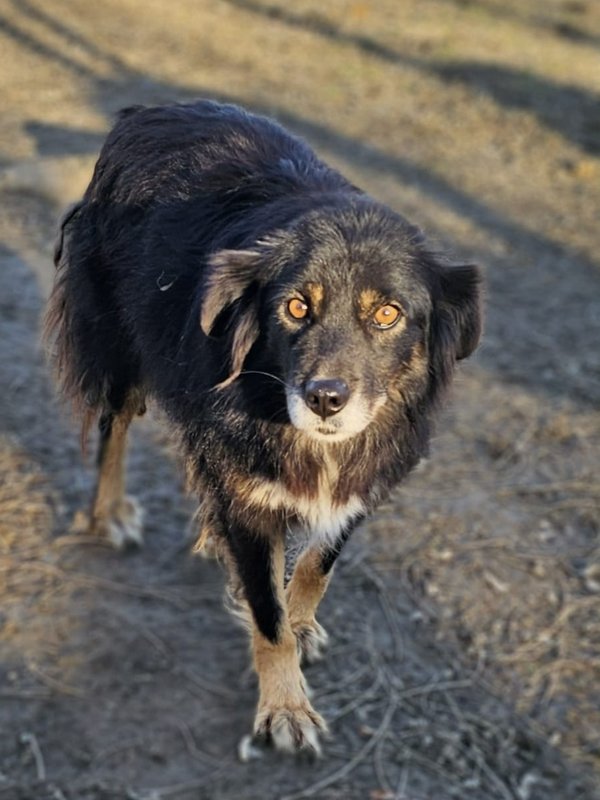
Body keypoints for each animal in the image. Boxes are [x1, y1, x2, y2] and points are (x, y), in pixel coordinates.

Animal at [46, 99, 483, 756]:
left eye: (387, 314)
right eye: (296, 307)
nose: (325, 399)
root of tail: (147, 109)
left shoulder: (357, 485)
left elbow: (314, 570)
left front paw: (301, 626)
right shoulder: (248, 487)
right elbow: (268, 615)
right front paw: (285, 707)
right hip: (121, 346)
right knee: (113, 433)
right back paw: (112, 513)